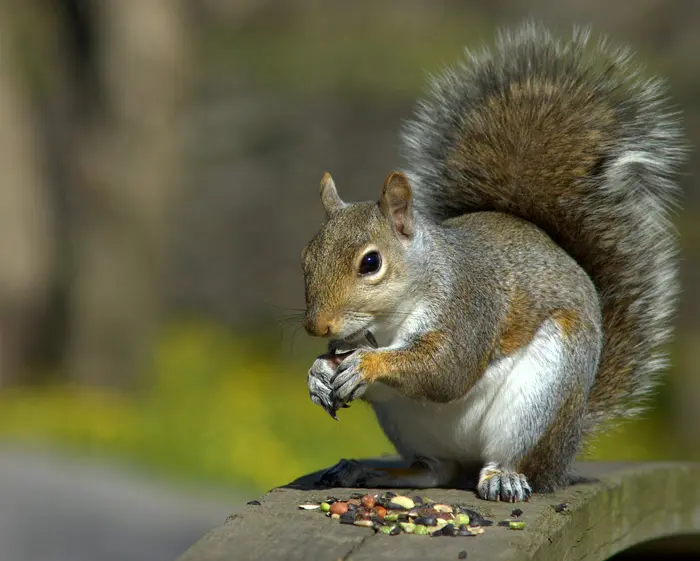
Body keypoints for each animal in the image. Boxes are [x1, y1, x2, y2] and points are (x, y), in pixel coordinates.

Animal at [300, 23, 684, 504]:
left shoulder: (470, 307)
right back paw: (369, 471)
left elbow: (446, 370)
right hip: (410, 426)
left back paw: (504, 477)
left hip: (540, 397)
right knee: (433, 471)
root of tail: (569, 445)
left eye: (371, 262)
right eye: (306, 257)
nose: (317, 327)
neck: (389, 323)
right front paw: (319, 372)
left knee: (512, 461)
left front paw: (368, 364)